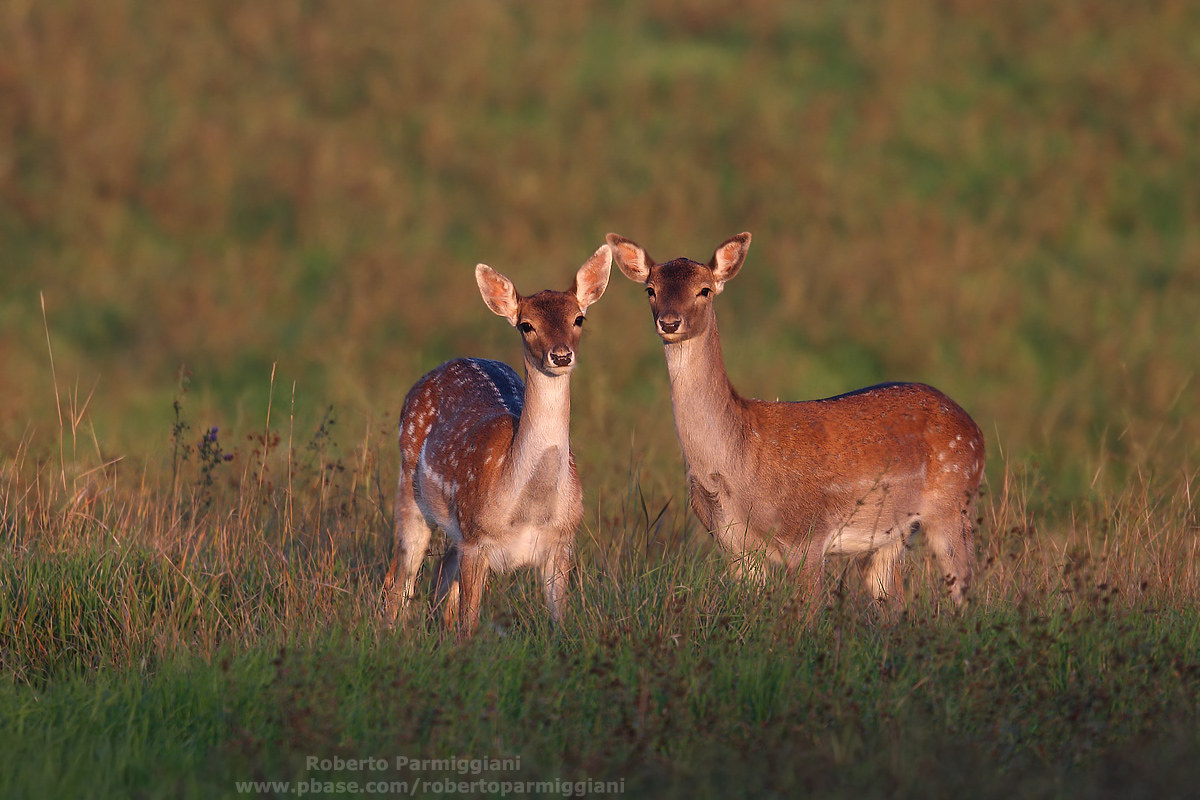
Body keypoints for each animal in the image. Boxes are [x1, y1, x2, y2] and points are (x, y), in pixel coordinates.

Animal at [381, 244, 612, 637]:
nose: (561, 355)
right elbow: (468, 622)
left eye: (579, 318)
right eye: (526, 324)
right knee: (401, 578)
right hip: (410, 489)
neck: (528, 508)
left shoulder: (561, 542)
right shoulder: (477, 539)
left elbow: (560, 622)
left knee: (440, 576)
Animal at [606, 232, 984, 612]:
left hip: (953, 503)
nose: (669, 322)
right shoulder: (734, 547)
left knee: (965, 589)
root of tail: (973, 427)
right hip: (890, 536)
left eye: (705, 290)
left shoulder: (807, 535)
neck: (735, 468)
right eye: (650, 289)